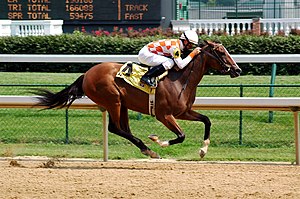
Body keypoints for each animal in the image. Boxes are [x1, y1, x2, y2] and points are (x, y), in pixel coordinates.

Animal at [34, 40, 241, 159]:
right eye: (221, 52)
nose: (237, 70)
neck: (181, 79)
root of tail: (86, 74)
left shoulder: (183, 112)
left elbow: (207, 120)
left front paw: (203, 150)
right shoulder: (164, 115)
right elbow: (181, 136)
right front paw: (158, 140)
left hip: (122, 104)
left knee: (123, 129)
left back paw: (146, 149)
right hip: (113, 101)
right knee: (115, 128)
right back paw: (149, 149)